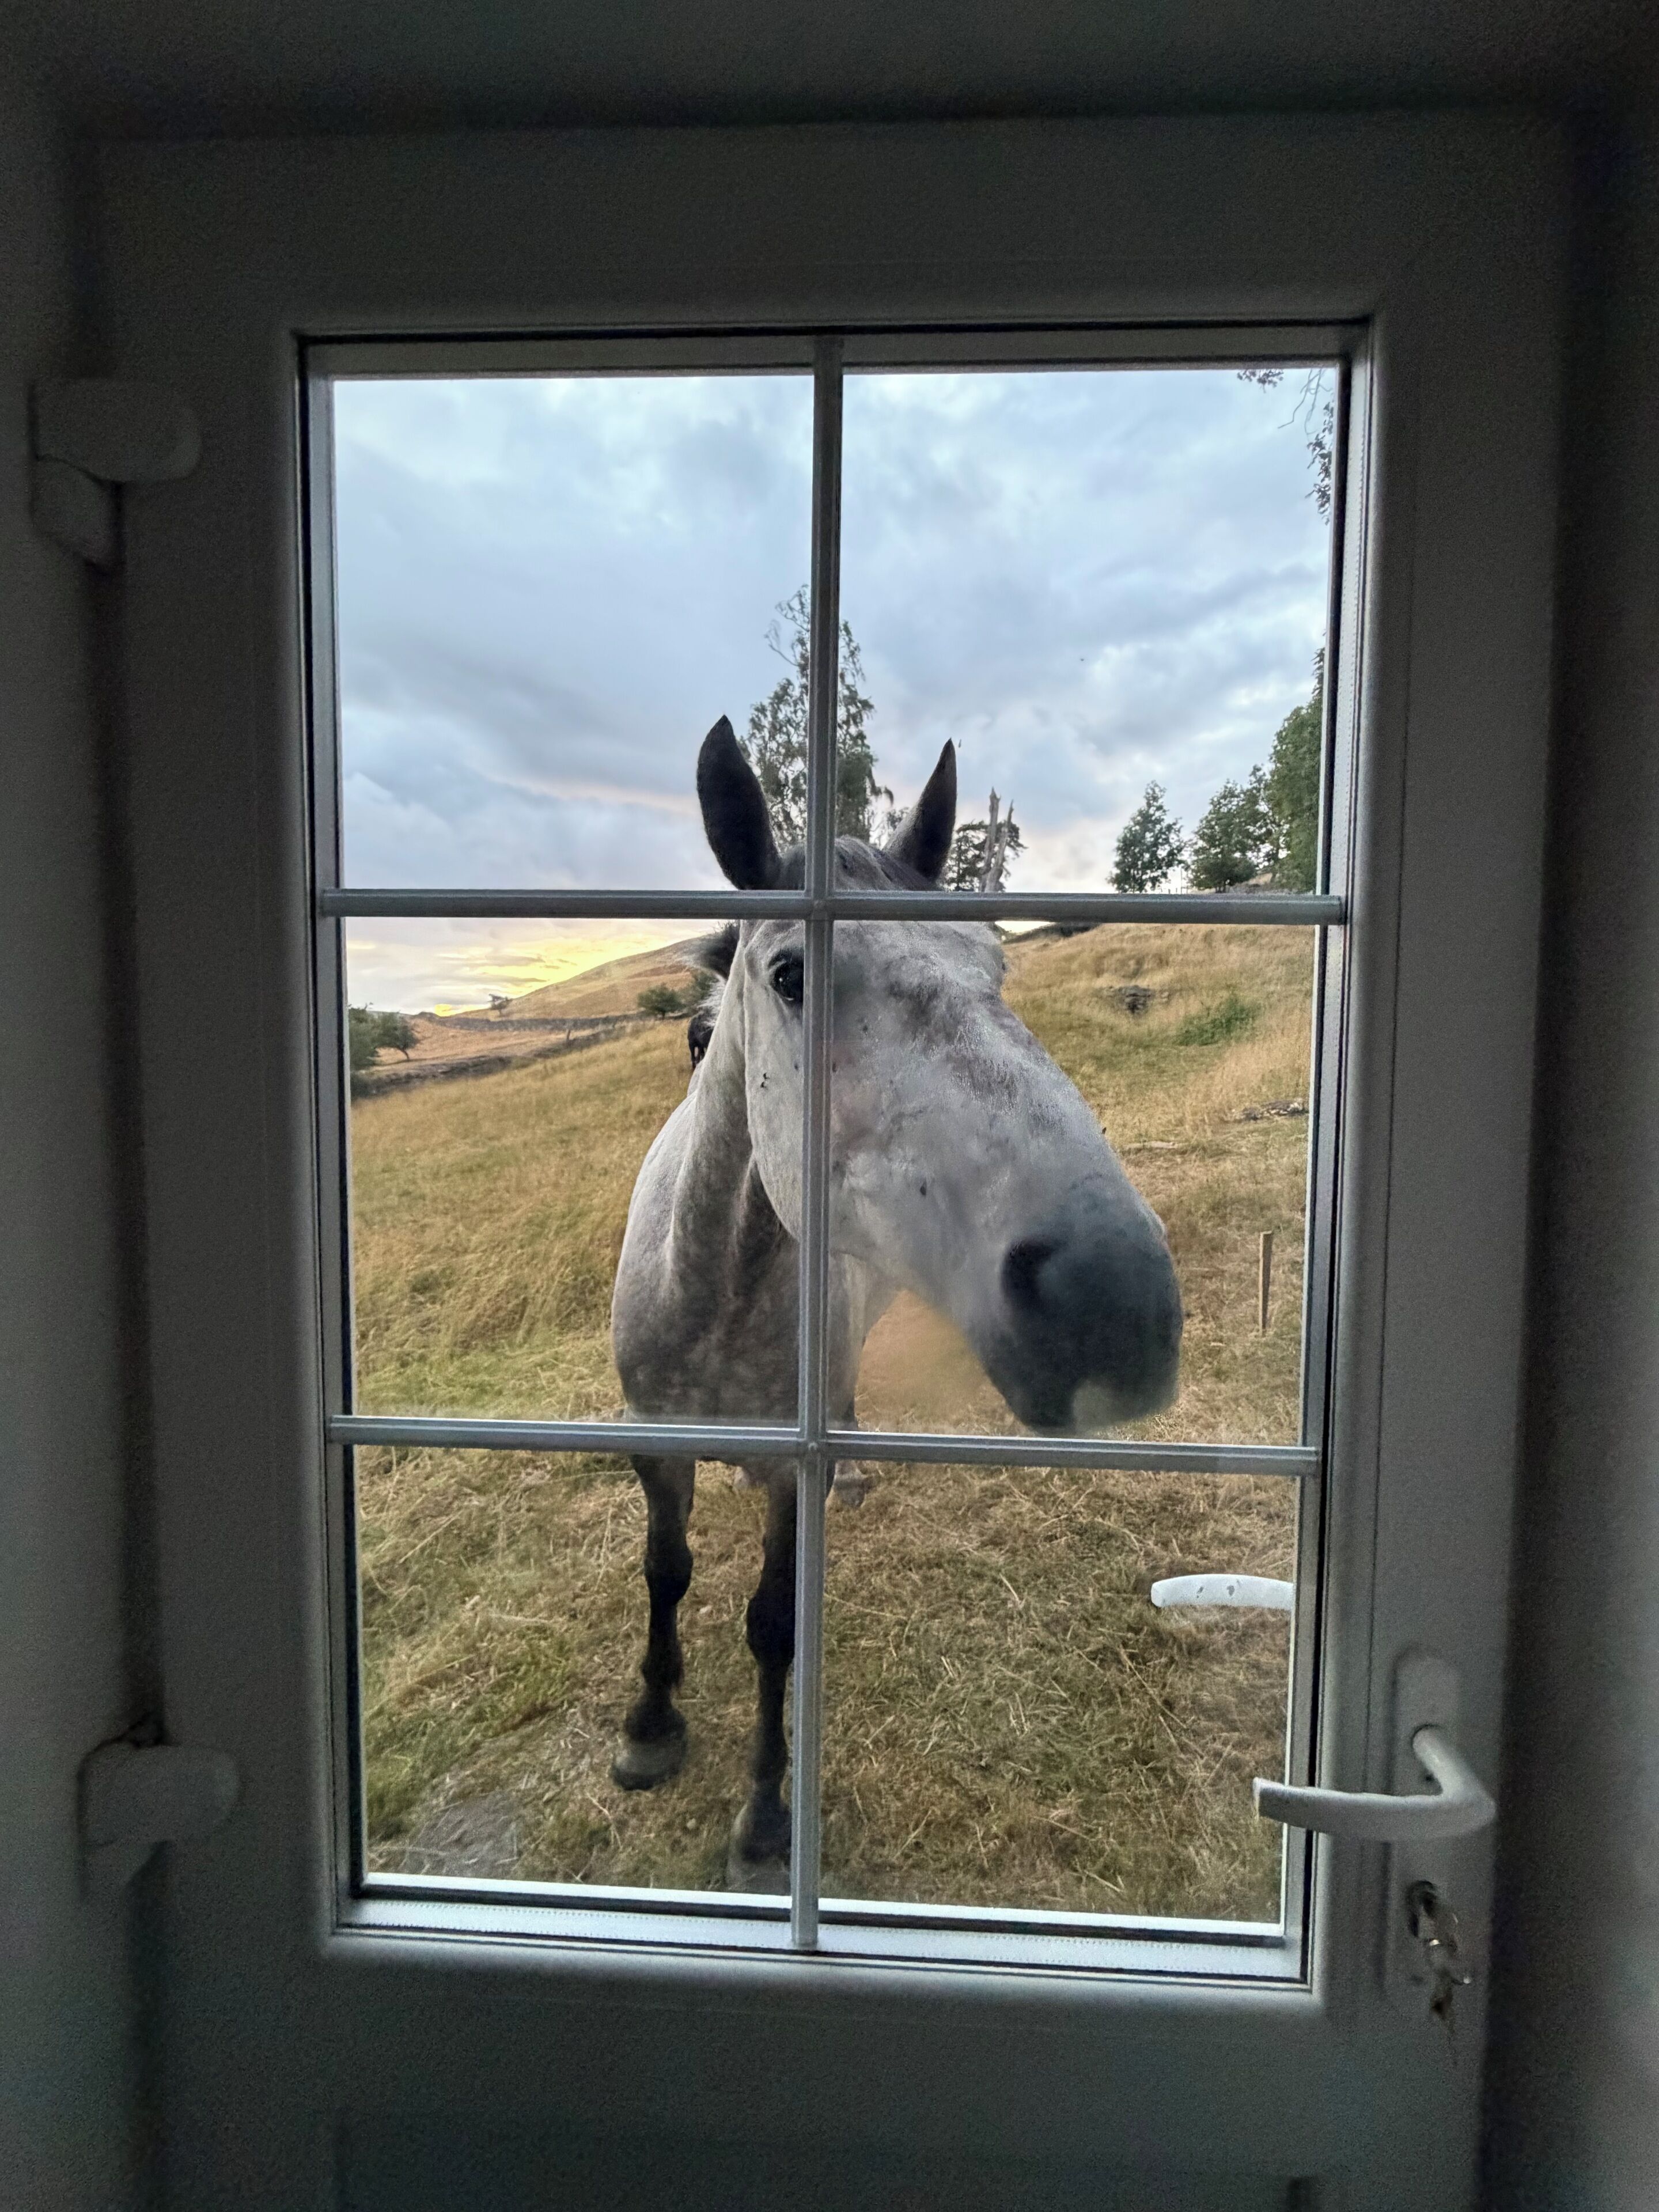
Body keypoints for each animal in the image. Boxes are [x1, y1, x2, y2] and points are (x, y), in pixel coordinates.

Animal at [608, 717, 1182, 1888]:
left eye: (995, 966)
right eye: (790, 974)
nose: (1112, 1301)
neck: (712, 1291)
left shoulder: (787, 1473)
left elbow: (773, 1626)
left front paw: (766, 1819)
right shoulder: (653, 1443)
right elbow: (666, 1571)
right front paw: (650, 1725)